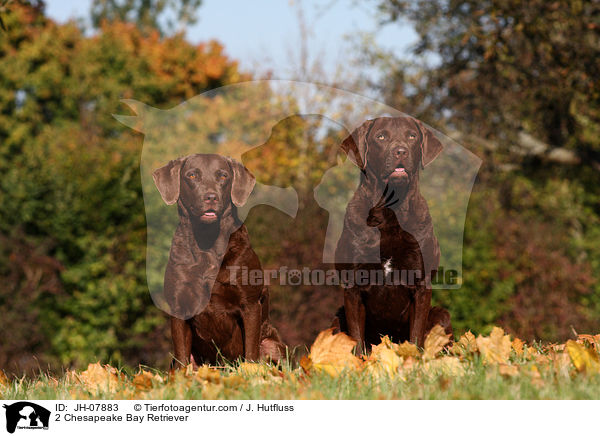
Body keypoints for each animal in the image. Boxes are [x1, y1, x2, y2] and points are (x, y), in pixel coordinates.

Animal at [155, 155, 286, 366]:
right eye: (192, 175)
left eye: (223, 176)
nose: (210, 197)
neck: (206, 243)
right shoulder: (179, 306)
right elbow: (182, 356)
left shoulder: (250, 304)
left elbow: (251, 352)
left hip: (271, 343)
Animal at [330, 116, 452, 350]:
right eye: (381, 137)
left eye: (411, 136)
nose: (400, 151)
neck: (389, 211)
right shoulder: (353, 286)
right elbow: (356, 338)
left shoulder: (421, 284)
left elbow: (416, 335)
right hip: (336, 317)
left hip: (442, 315)